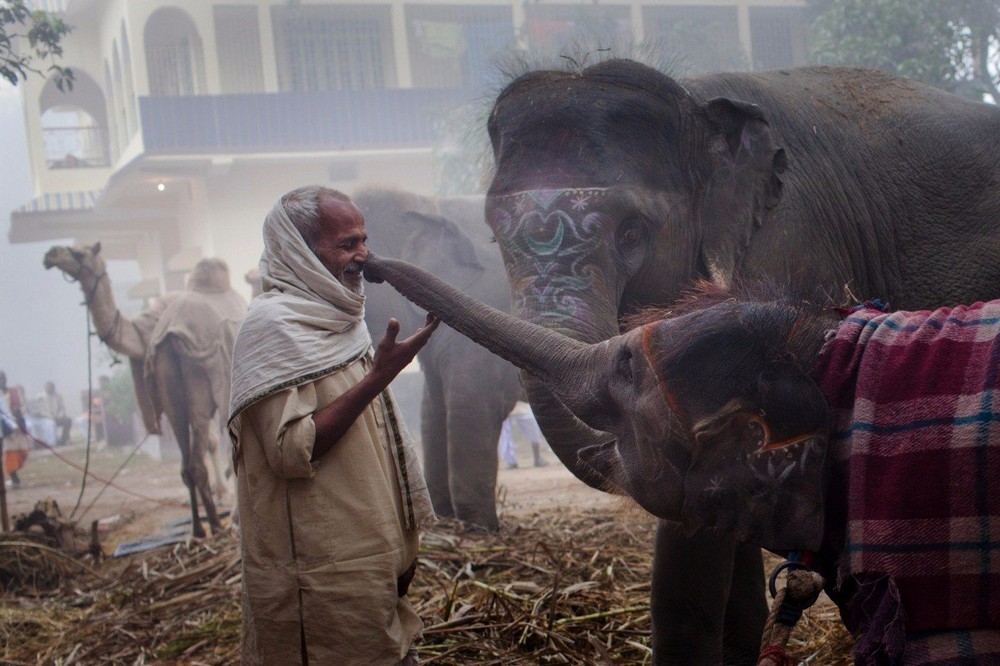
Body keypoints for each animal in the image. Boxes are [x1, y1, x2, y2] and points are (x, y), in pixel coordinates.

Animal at [45, 241, 250, 536]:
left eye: (79, 252)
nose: (51, 254)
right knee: (195, 459)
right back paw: (208, 524)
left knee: (197, 456)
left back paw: (209, 522)